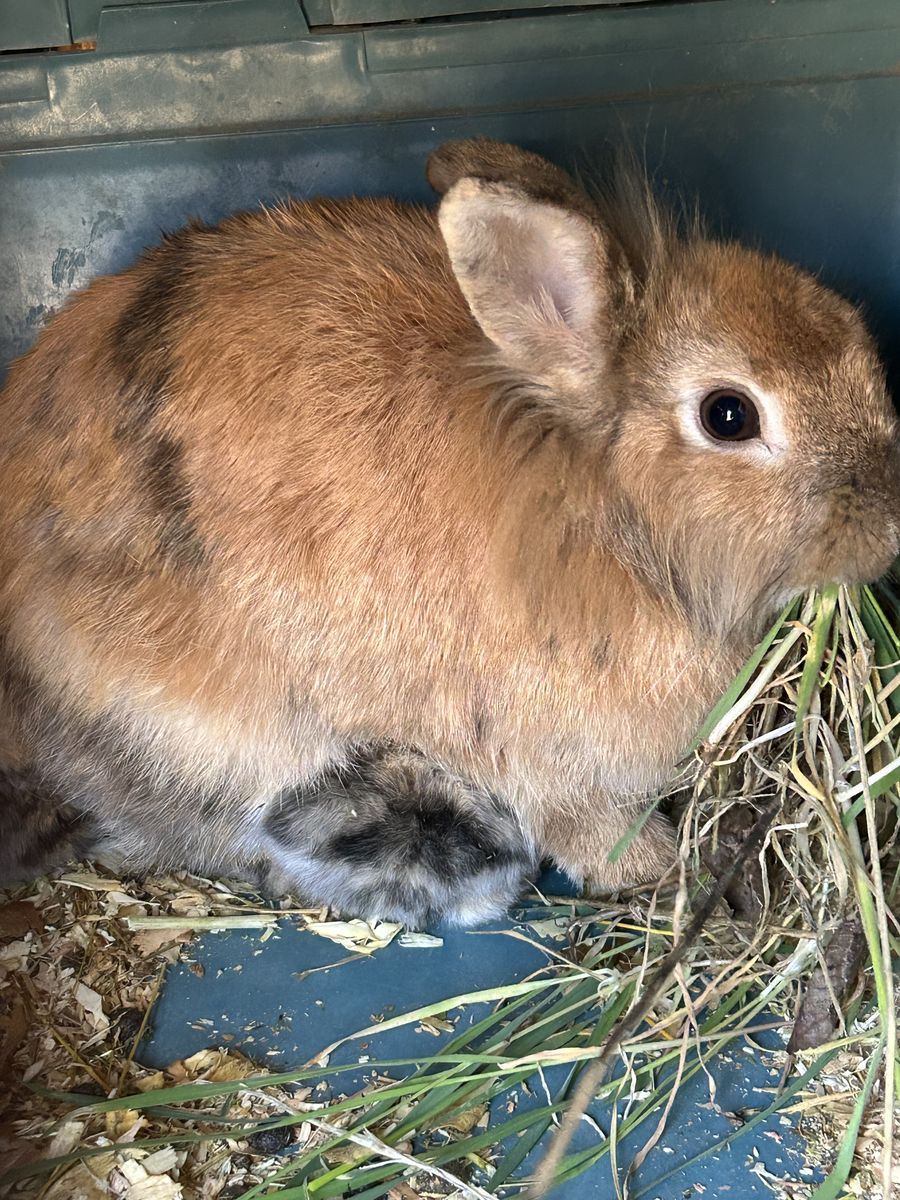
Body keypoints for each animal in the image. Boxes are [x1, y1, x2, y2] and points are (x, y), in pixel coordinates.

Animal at [0, 136, 896, 927]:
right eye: (729, 415)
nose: (889, 529)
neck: (607, 515)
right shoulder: (547, 759)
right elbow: (590, 831)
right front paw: (658, 870)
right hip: (197, 738)